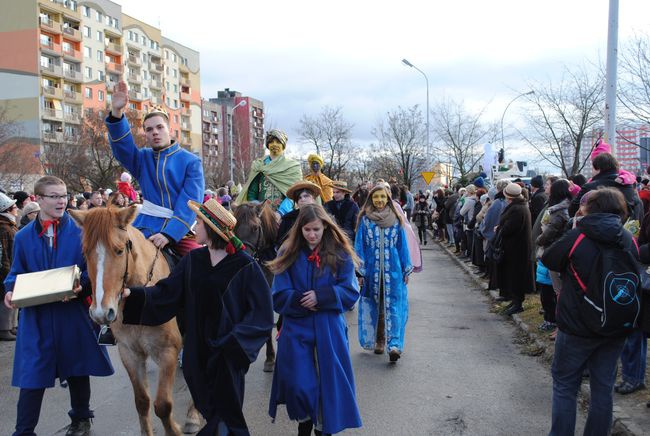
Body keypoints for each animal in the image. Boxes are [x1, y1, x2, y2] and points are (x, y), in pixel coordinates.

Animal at [67, 206, 200, 434]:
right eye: (85, 252)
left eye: (119, 250)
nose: (101, 312)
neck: (141, 302)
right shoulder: (129, 353)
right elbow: (142, 402)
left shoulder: (167, 352)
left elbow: (162, 405)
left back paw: (193, 415)